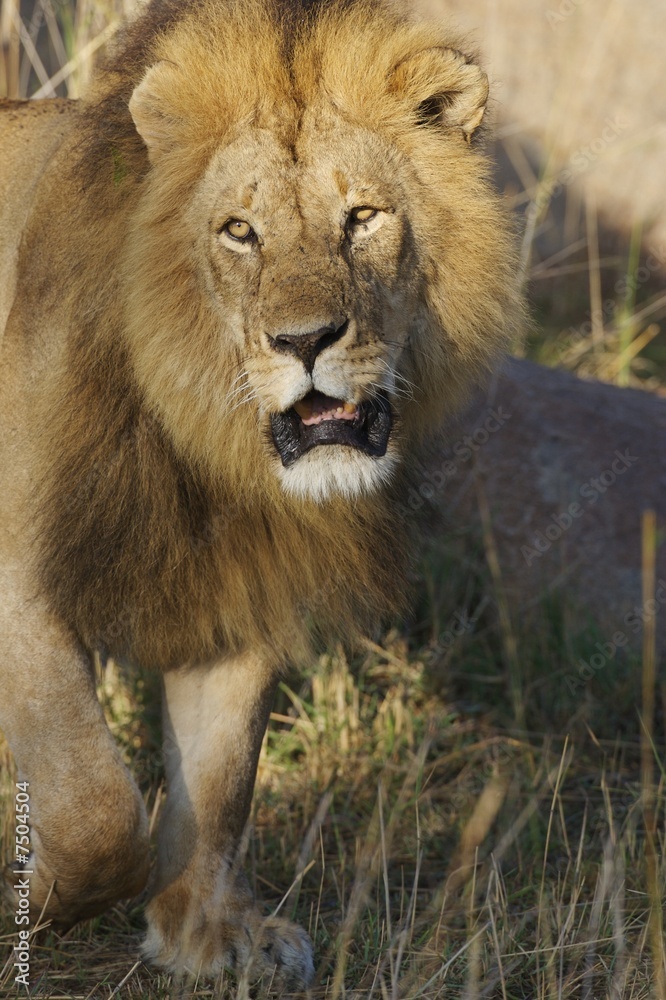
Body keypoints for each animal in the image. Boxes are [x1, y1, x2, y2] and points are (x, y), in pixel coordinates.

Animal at [0, 0, 520, 988]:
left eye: (363, 218)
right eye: (240, 232)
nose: (305, 340)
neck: (201, 439)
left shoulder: (239, 582)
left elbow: (221, 777)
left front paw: (205, 932)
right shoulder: (18, 574)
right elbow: (96, 810)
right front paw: (30, 895)